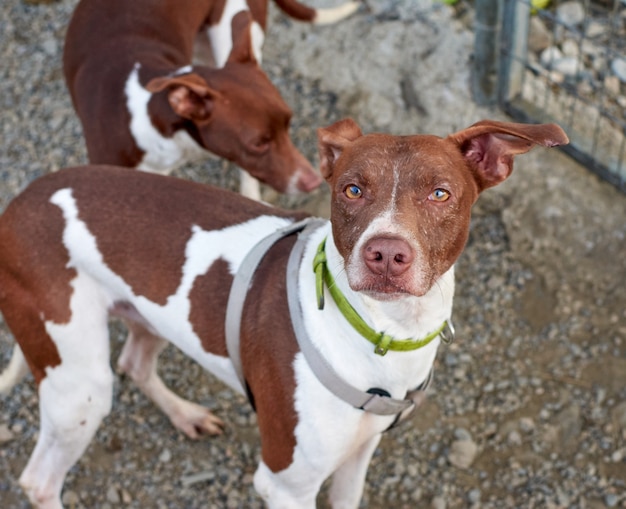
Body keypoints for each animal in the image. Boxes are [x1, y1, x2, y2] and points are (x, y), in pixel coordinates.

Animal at [0, 118, 564, 504]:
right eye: (351, 189)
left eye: (440, 193)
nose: (385, 254)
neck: (381, 333)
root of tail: (23, 198)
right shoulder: (284, 485)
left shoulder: (357, 459)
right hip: (78, 386)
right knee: (39, 478)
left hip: (147, 315)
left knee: (134, 362)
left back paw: (186, 415)